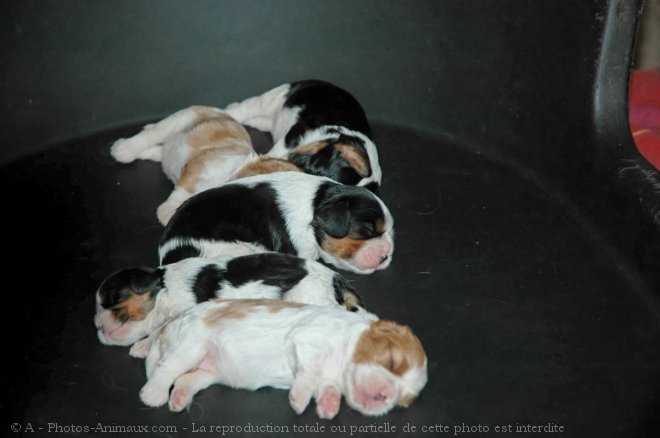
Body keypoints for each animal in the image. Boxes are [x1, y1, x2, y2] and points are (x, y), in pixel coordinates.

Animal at [91, 252, 366, 348]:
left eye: (114, 301)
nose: (98, 326)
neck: (164, 286)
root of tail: (335, 279)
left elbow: (160, 330)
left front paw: (142, 347)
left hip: (306, 294)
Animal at [111, 104, 302, 224]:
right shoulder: (201, 166)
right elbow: (184, 190)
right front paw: (168, 211)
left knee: (154, 148)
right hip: (182, 119)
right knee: (151, 134)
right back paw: (124, 149)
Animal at [133, 298, 428, 418]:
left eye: (402, 401)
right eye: (391, 362)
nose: (384, 396)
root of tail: (170, 324)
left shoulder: (330, 376)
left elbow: (327, 386)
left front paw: (329, 405)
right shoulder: (310, 339)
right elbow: (310, 372)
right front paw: (299, 399)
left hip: (207, 371)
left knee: (186, 379)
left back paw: (179, 399)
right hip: (192, 344)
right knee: (166, 368)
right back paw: (154, 394)